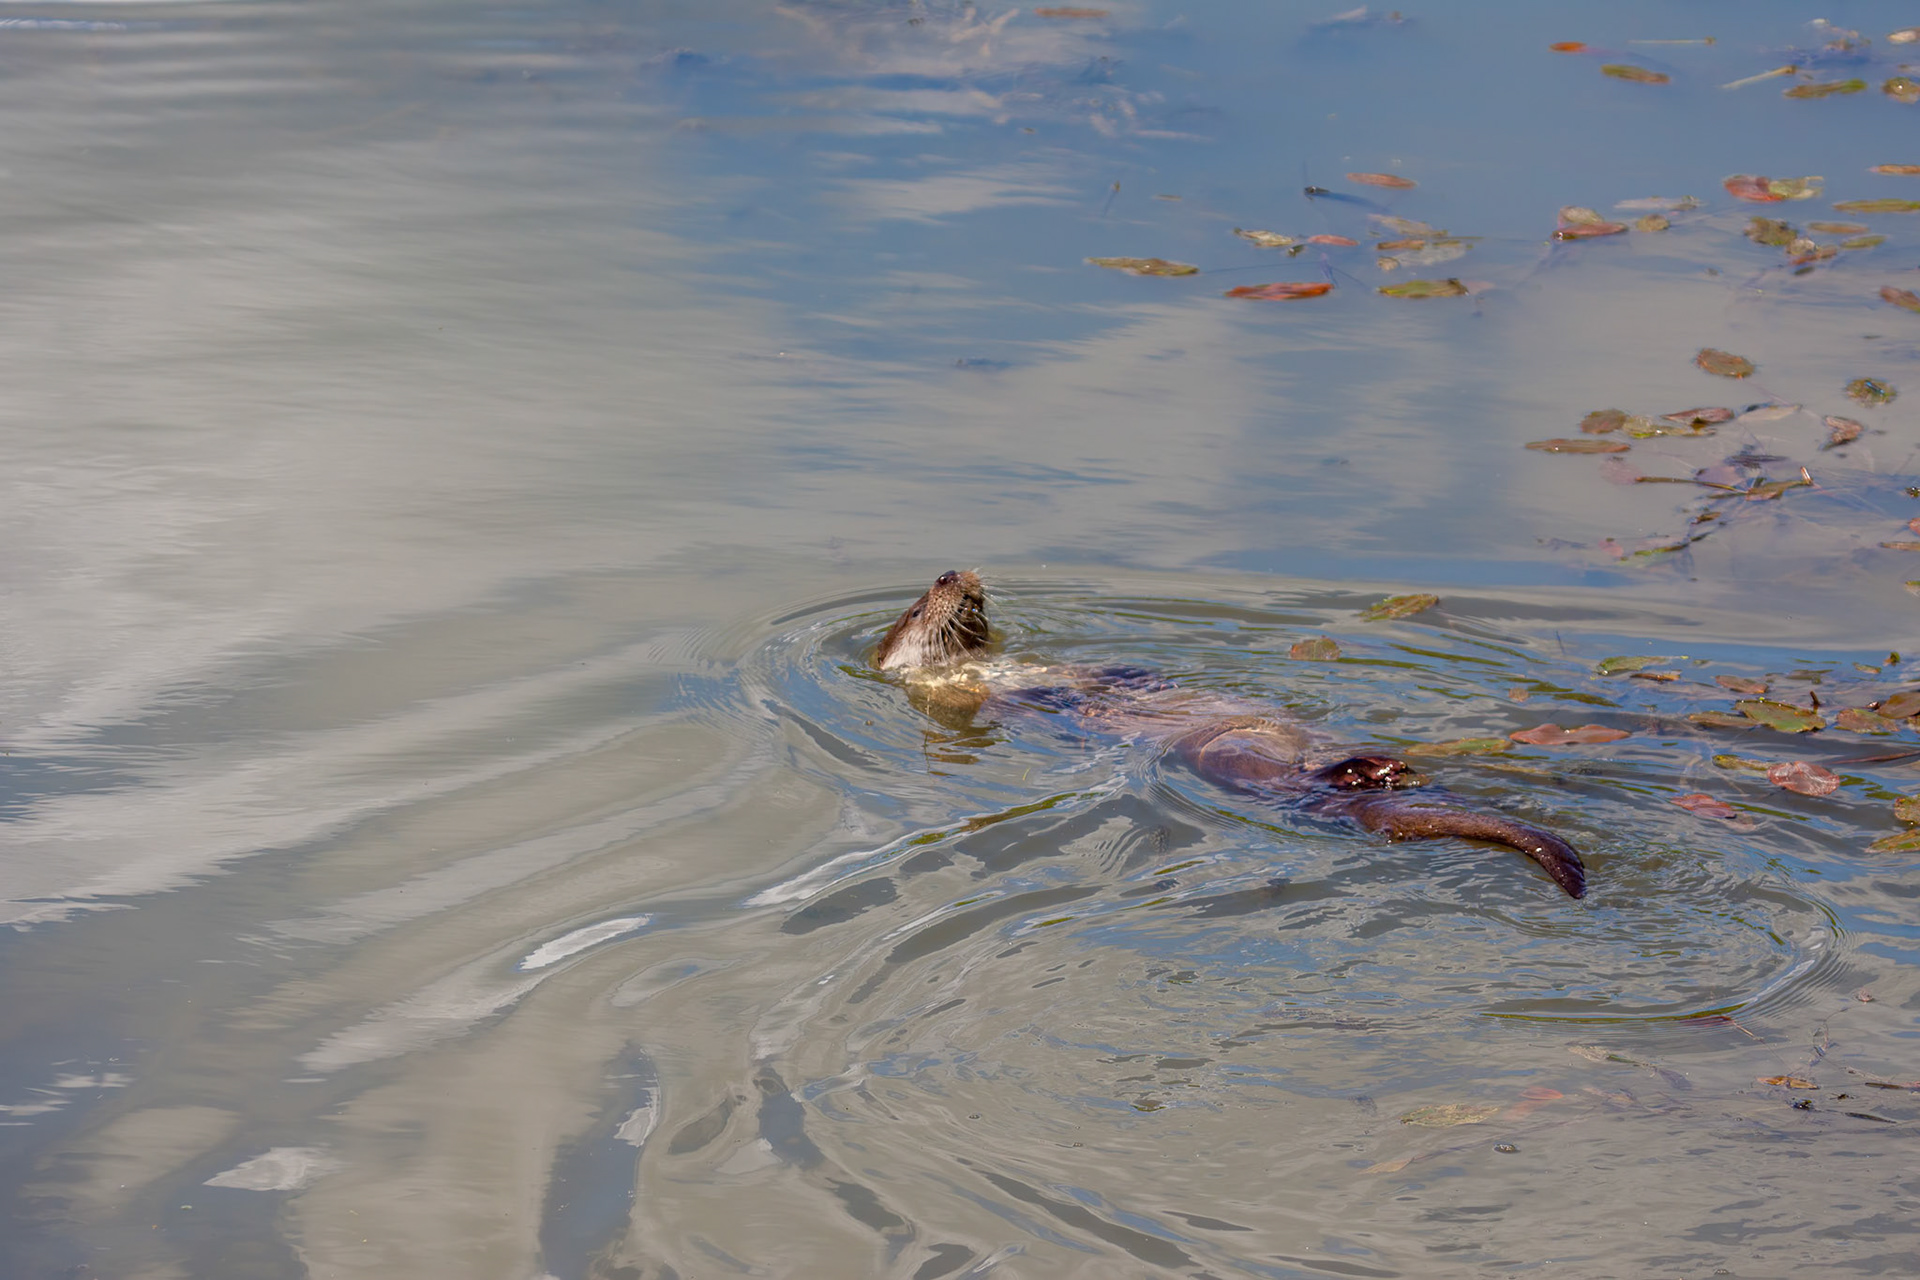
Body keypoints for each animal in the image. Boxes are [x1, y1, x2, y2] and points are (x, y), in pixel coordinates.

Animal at [875, 570, 1588, 898]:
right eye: (914, 610)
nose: (949, 575)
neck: (989, 672)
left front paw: (1128, 678)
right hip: (1228, 749)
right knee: (1309, 781)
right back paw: (1369, 771)